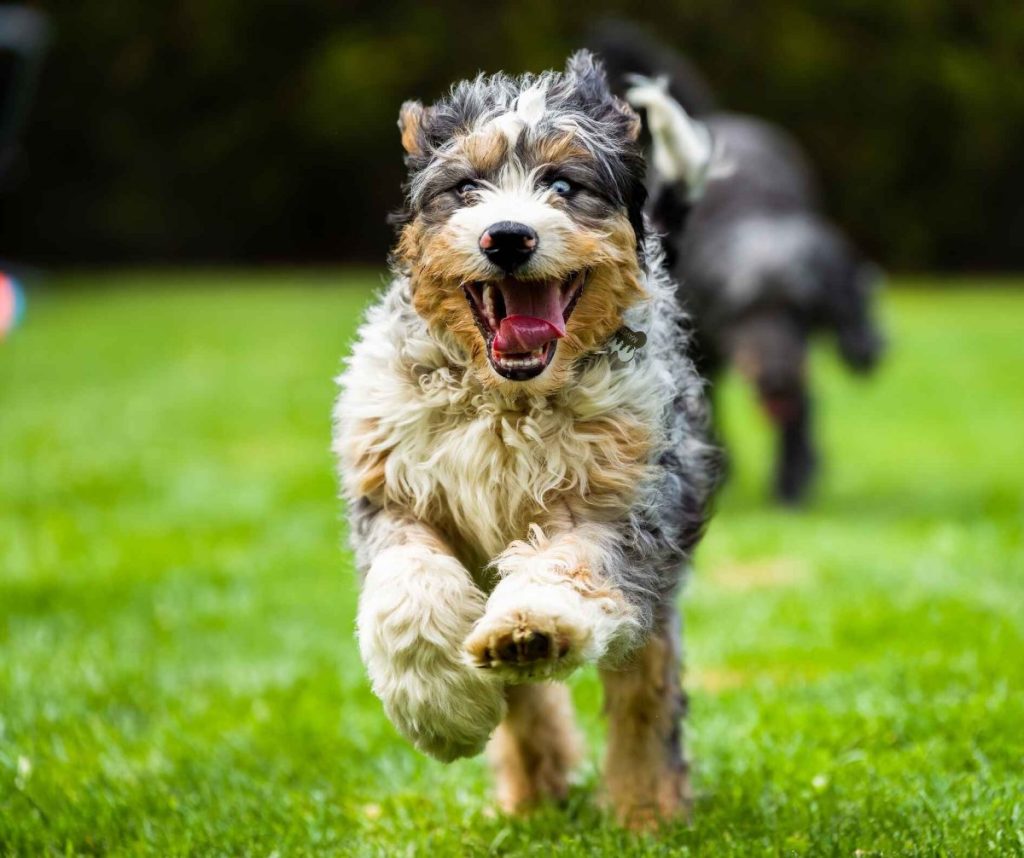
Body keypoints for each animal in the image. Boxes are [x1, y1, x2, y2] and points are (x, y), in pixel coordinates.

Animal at [331, 50, 716, 831]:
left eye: (564, 186)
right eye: (465, 188)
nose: (506, 236)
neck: (506, 400)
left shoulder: (623, 501)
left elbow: (571, 563)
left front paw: (533, 625)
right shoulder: (392, 490)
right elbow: (407, 588)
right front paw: (440, 710)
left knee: (646, 689)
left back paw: (645, 809)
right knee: (527, 700)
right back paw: (533, 793)